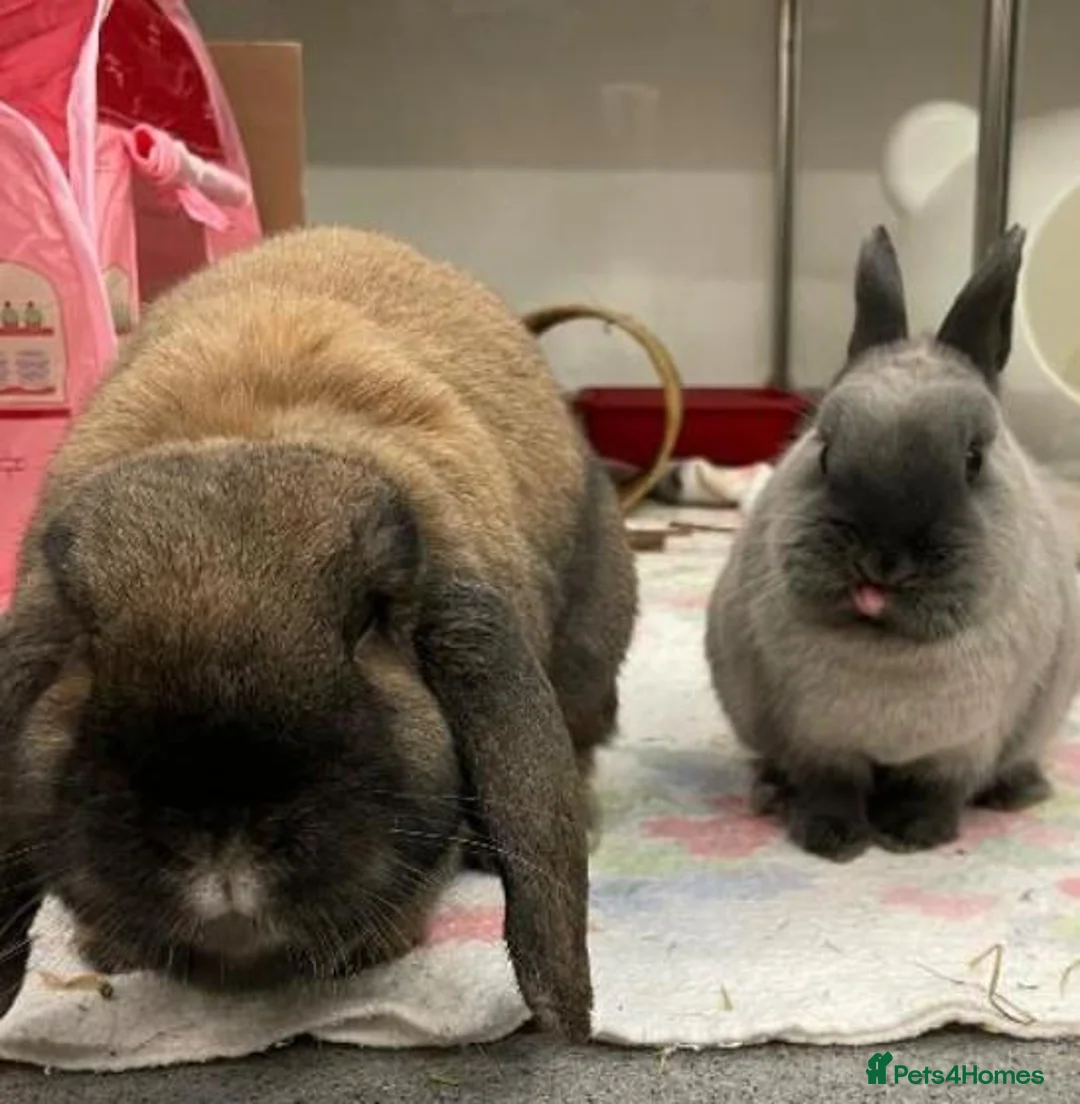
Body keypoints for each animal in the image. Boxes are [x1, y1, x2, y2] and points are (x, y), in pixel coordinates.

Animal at [706, 224, 1080, 863]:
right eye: (824, 448)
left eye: (973, 459)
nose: (881, 560)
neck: (887, 645)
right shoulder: (820, 740)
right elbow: (832, 786)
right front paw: (832, 841)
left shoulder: (961, 747)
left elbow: (936, 790)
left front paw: (913, 836)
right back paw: (770, 793)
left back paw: (1018, 791)